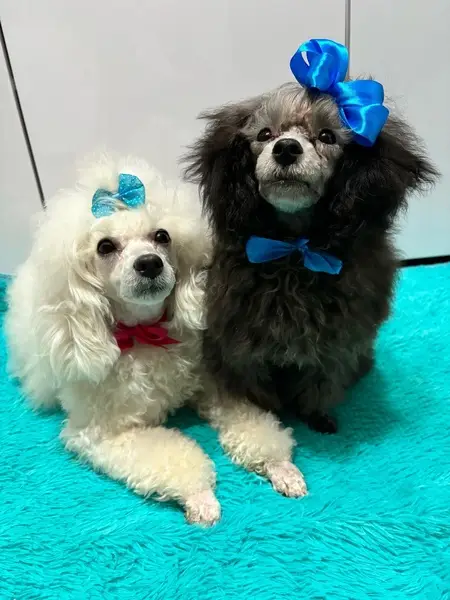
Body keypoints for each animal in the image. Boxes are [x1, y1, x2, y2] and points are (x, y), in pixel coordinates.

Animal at [6, 156, 308, 526]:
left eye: (162, 236)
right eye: (105, 246)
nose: (149, 263)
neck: (145, 336)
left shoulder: (213, 386)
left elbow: (253, 424)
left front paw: (281, 467)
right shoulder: (105, 433)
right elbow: (170, 457)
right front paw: (201, 498)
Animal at [184, 72, 438, 434]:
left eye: (327, 136)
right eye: (264, 134)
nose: (286, 148)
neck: (294, 252)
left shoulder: (339, 341)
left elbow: (323, 381)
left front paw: (317, 416)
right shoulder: (245, 340)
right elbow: (258, 385)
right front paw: (270, 416)